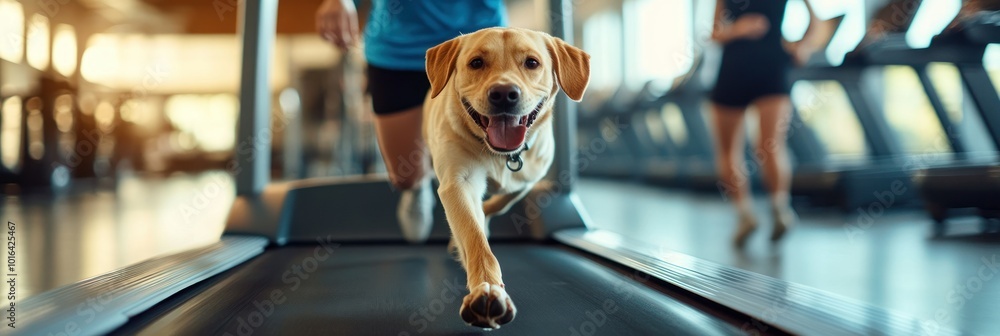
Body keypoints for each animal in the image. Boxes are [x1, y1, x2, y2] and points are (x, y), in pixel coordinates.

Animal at [394, 27, 588, 330]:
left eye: (532, 62)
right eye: (476, 63)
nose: (504, 93)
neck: (498, 154)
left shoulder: (528, 178)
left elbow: (501, 201)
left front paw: (480, 222)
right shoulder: (458, 183)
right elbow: (474, 235)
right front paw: (487, 290)